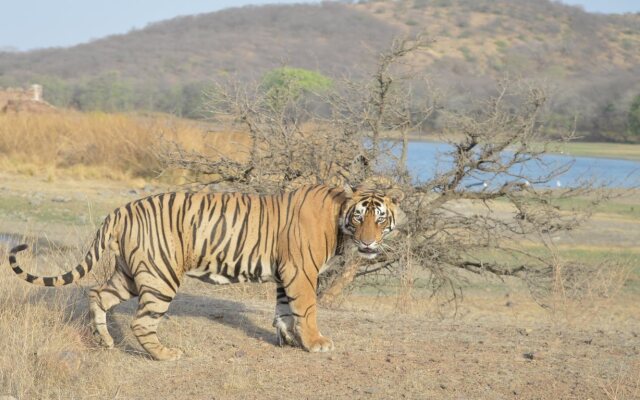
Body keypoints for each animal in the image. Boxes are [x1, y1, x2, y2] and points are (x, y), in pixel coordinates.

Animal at [7, 184, 402, 362]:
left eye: (379, 219)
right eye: (359, 218)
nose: (369, 242)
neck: (338, 218)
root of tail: (120, 209)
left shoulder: (284, 274)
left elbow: (284, 310)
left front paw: (289, 339)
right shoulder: (300, 272)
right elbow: (306, 309)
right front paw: (316, 343)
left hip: (129, 275)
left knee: (96, 294)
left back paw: (105, 341)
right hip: (161, 275)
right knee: (141, 322)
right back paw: (166, 354)